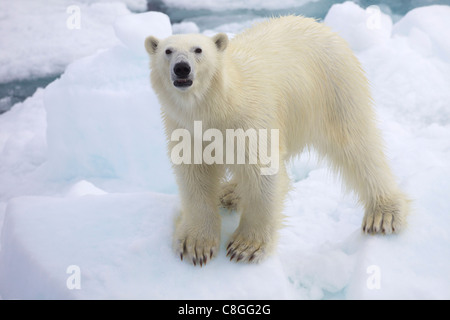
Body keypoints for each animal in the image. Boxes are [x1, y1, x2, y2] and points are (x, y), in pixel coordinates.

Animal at [146, 16, 410, 268]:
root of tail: (323, 27)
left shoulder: (250, 120)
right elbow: (195, 176)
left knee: (357, 145)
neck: (219, 106)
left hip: (334, 87)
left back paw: (383, 213)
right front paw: (195, 245)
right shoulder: (185, 129)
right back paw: (229, 192)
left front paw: (245, 247)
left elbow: (262, 174)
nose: (182, 68)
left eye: (198, 49)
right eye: (168, 51)